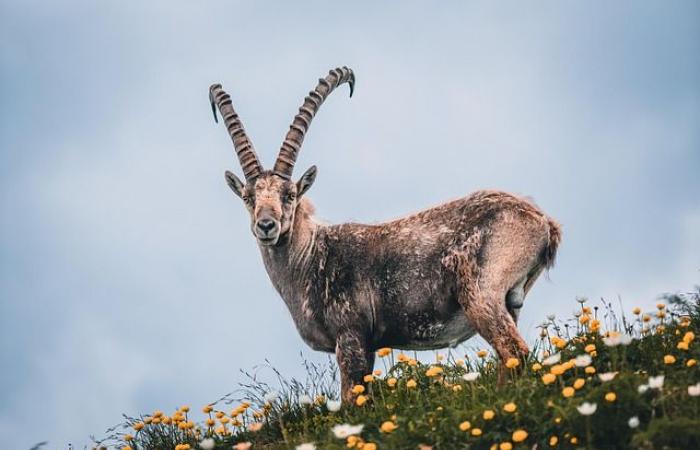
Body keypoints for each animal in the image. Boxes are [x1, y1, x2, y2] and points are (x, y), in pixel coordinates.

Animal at [209, 66, 564, 400]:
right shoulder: (367, 347)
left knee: (514, 351)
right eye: (248, 197)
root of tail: (543, 222)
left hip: (481, 295)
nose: (266, 225)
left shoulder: (350, 337)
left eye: (290, 195)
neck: (310, 259)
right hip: (510, 304)